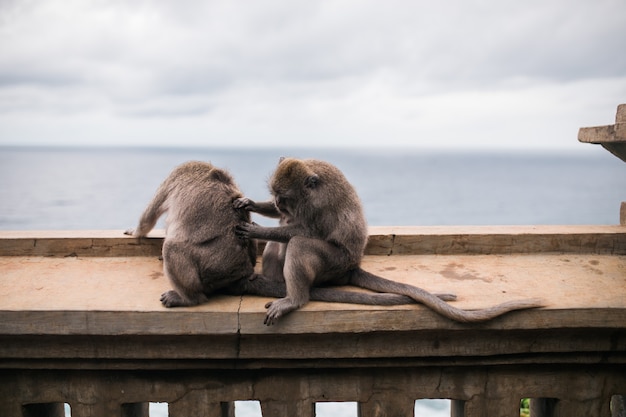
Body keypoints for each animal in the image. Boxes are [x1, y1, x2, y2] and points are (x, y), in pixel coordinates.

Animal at [125, 161, 258, 308]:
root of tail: (243, 270)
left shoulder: (175, 174)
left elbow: (149, 217)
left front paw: (135, 232)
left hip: (211, 267)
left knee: (171, 247)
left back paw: (189, 299)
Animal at [234, 158, 540, 324]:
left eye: (284, 197)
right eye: (275, 195)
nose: (277, 202)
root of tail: (352, 267)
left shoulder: (315, 205)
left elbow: (305, 230)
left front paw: (258, 231)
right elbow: (284, 221)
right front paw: (250, 204)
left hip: (334, 263)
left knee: (299, 242)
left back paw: (295, 299)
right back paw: (272, 282)